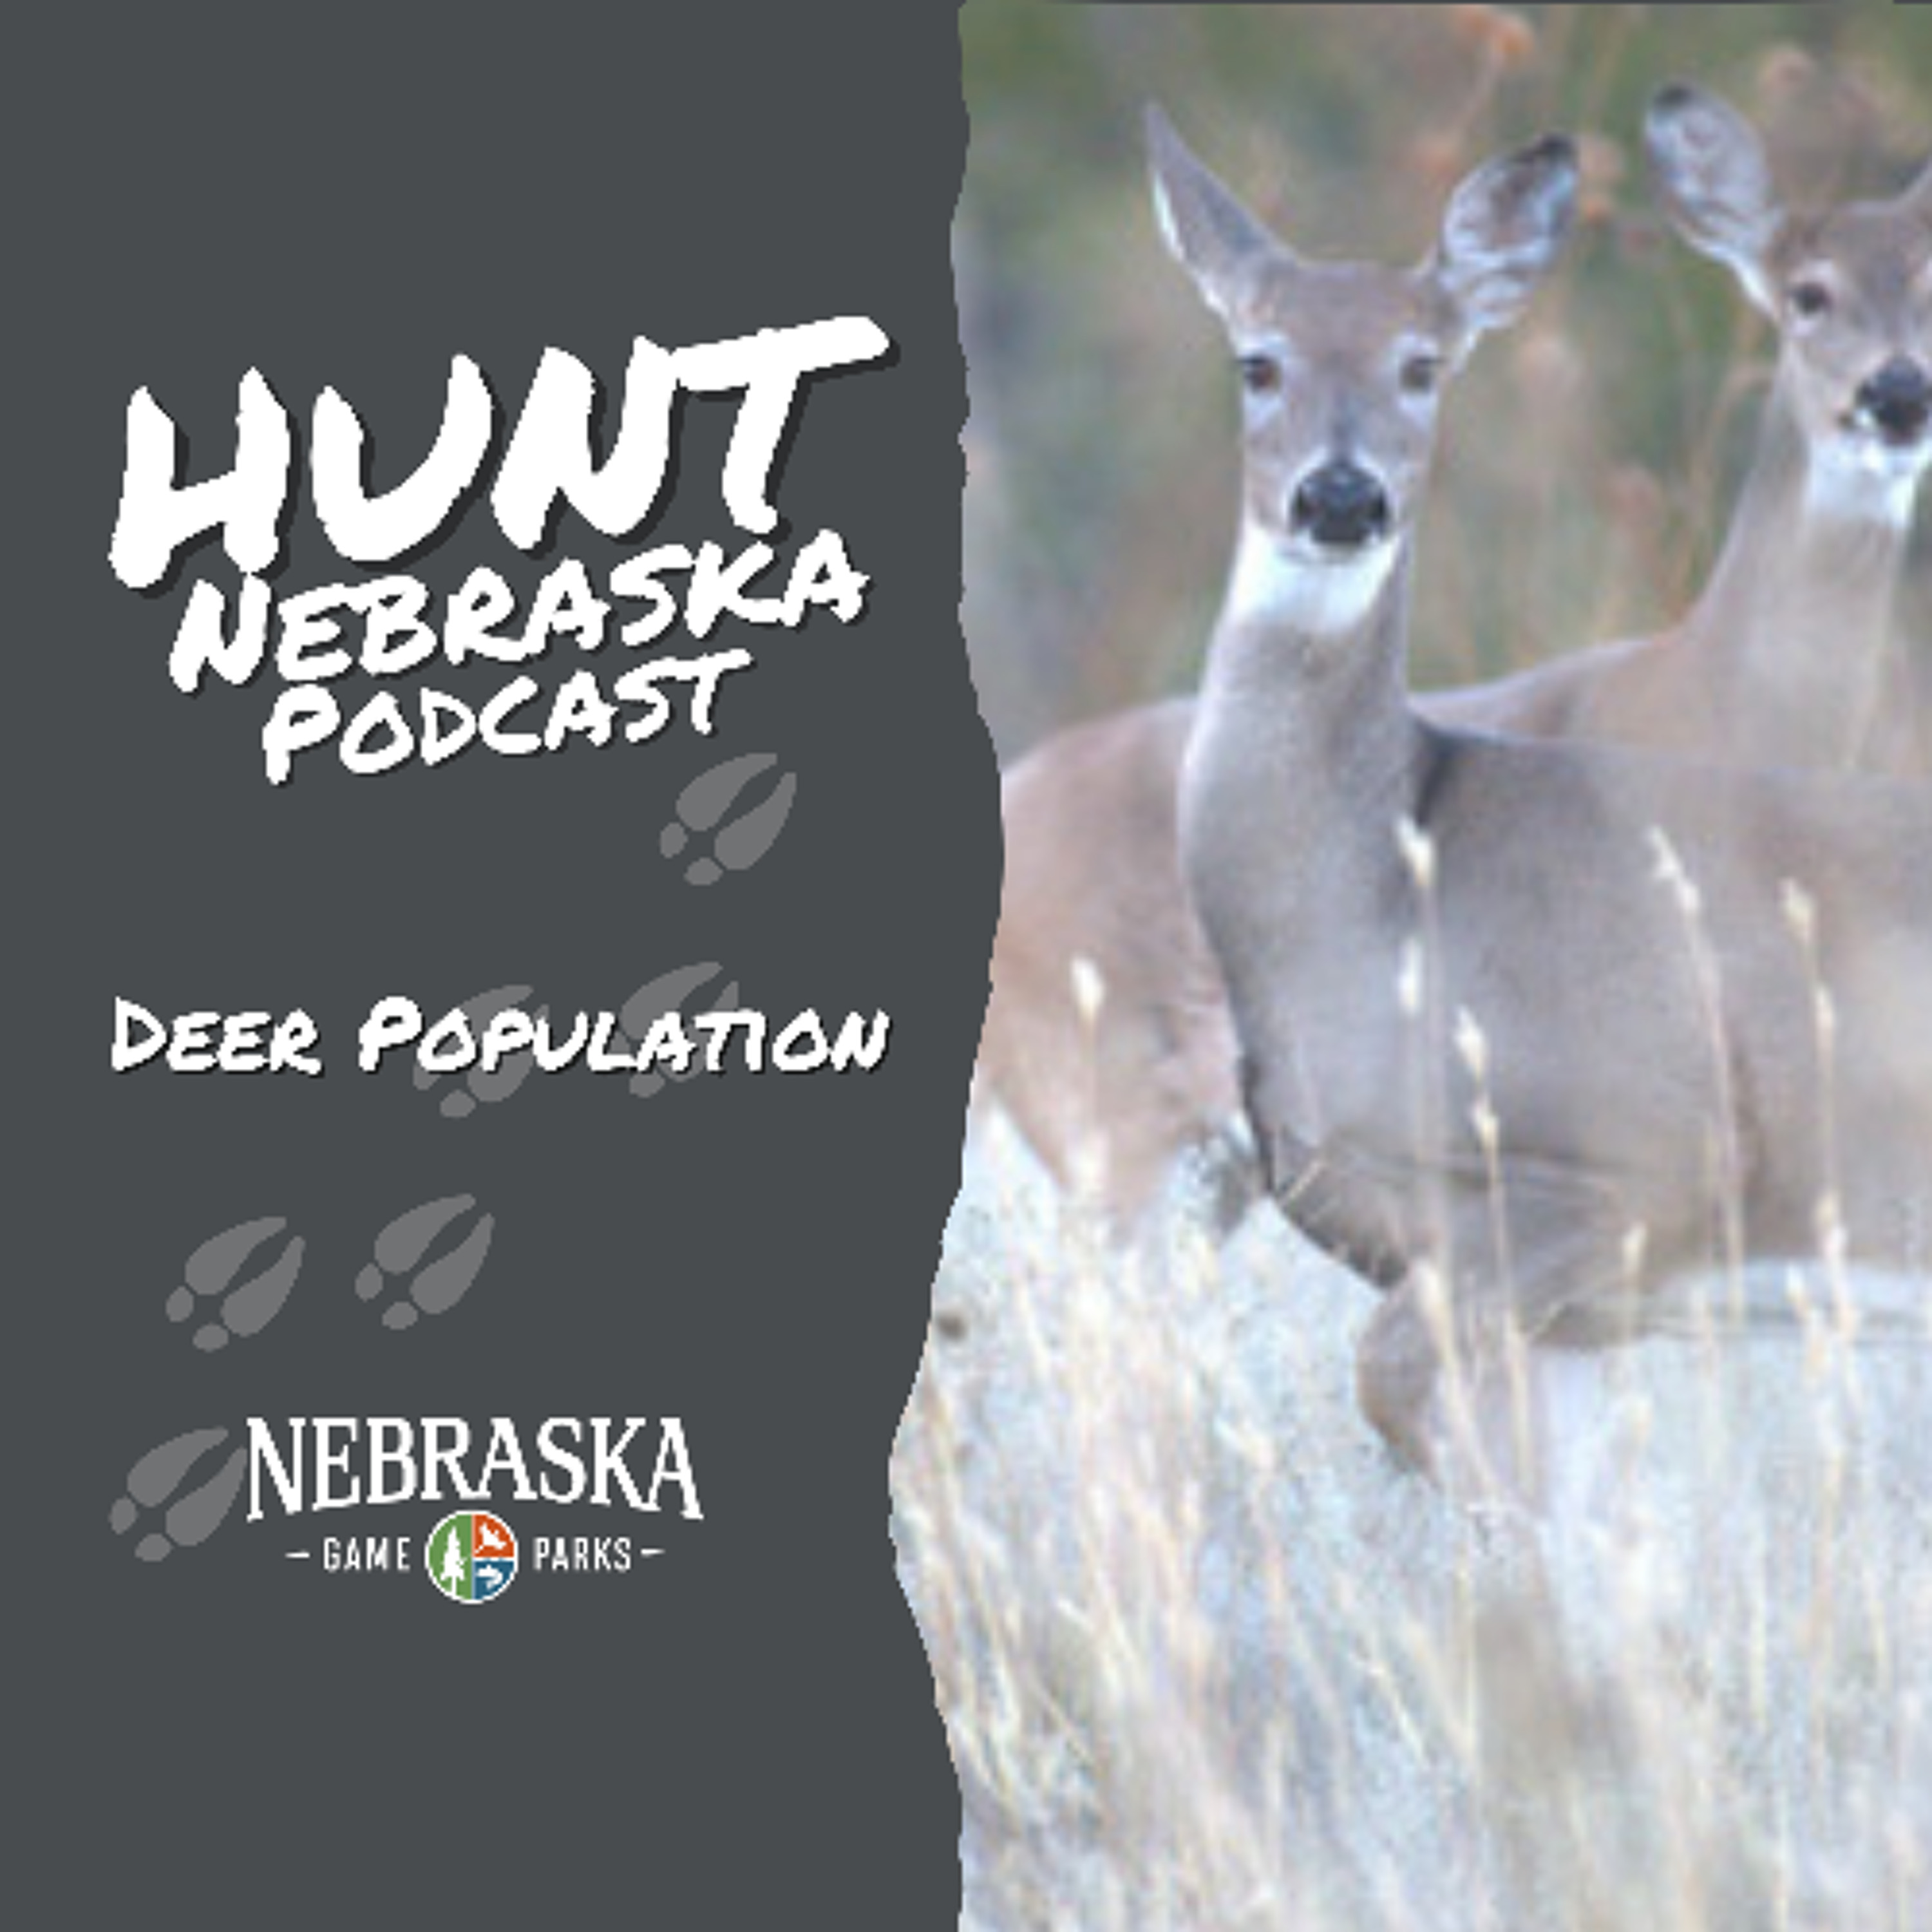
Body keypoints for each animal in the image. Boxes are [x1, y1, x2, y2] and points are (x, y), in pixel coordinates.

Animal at [1150, 105, 1932, 1488]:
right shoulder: (1563, 1309)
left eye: (1422, 366)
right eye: (1258, 363)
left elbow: (1400, 1392)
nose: (1341, 495)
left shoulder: (1643, 1157)